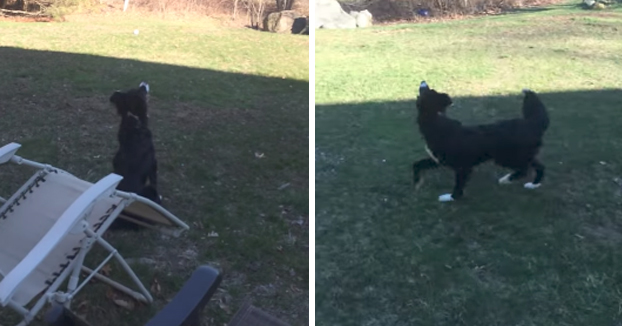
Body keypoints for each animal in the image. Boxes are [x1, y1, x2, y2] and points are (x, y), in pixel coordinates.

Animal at [414, 81, 552, 201]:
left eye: (428, 90)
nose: (423, 82)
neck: (435, 120)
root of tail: (531, 123)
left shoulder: (463, 167)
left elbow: (458, 185)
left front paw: (450, 197)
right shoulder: (439, 160)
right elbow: (417, 164)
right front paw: (417, 182)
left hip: (506, 157)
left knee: (524, 169)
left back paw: (506, 179)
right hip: (522, 155)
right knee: (539, 166)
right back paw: (533, 184)